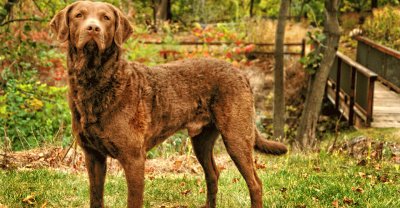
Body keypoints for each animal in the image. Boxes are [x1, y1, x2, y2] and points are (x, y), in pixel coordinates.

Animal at [50, 0, 288, 207]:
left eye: (106, 18)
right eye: (79, 15)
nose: (93, 28)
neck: (96, 82)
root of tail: (241, 74)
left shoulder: (134, 158)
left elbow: (133, 201)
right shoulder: (93, 156)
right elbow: (95, 198)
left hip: (237, 136)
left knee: (255, 183)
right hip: (202, 140)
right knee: (213, 174)